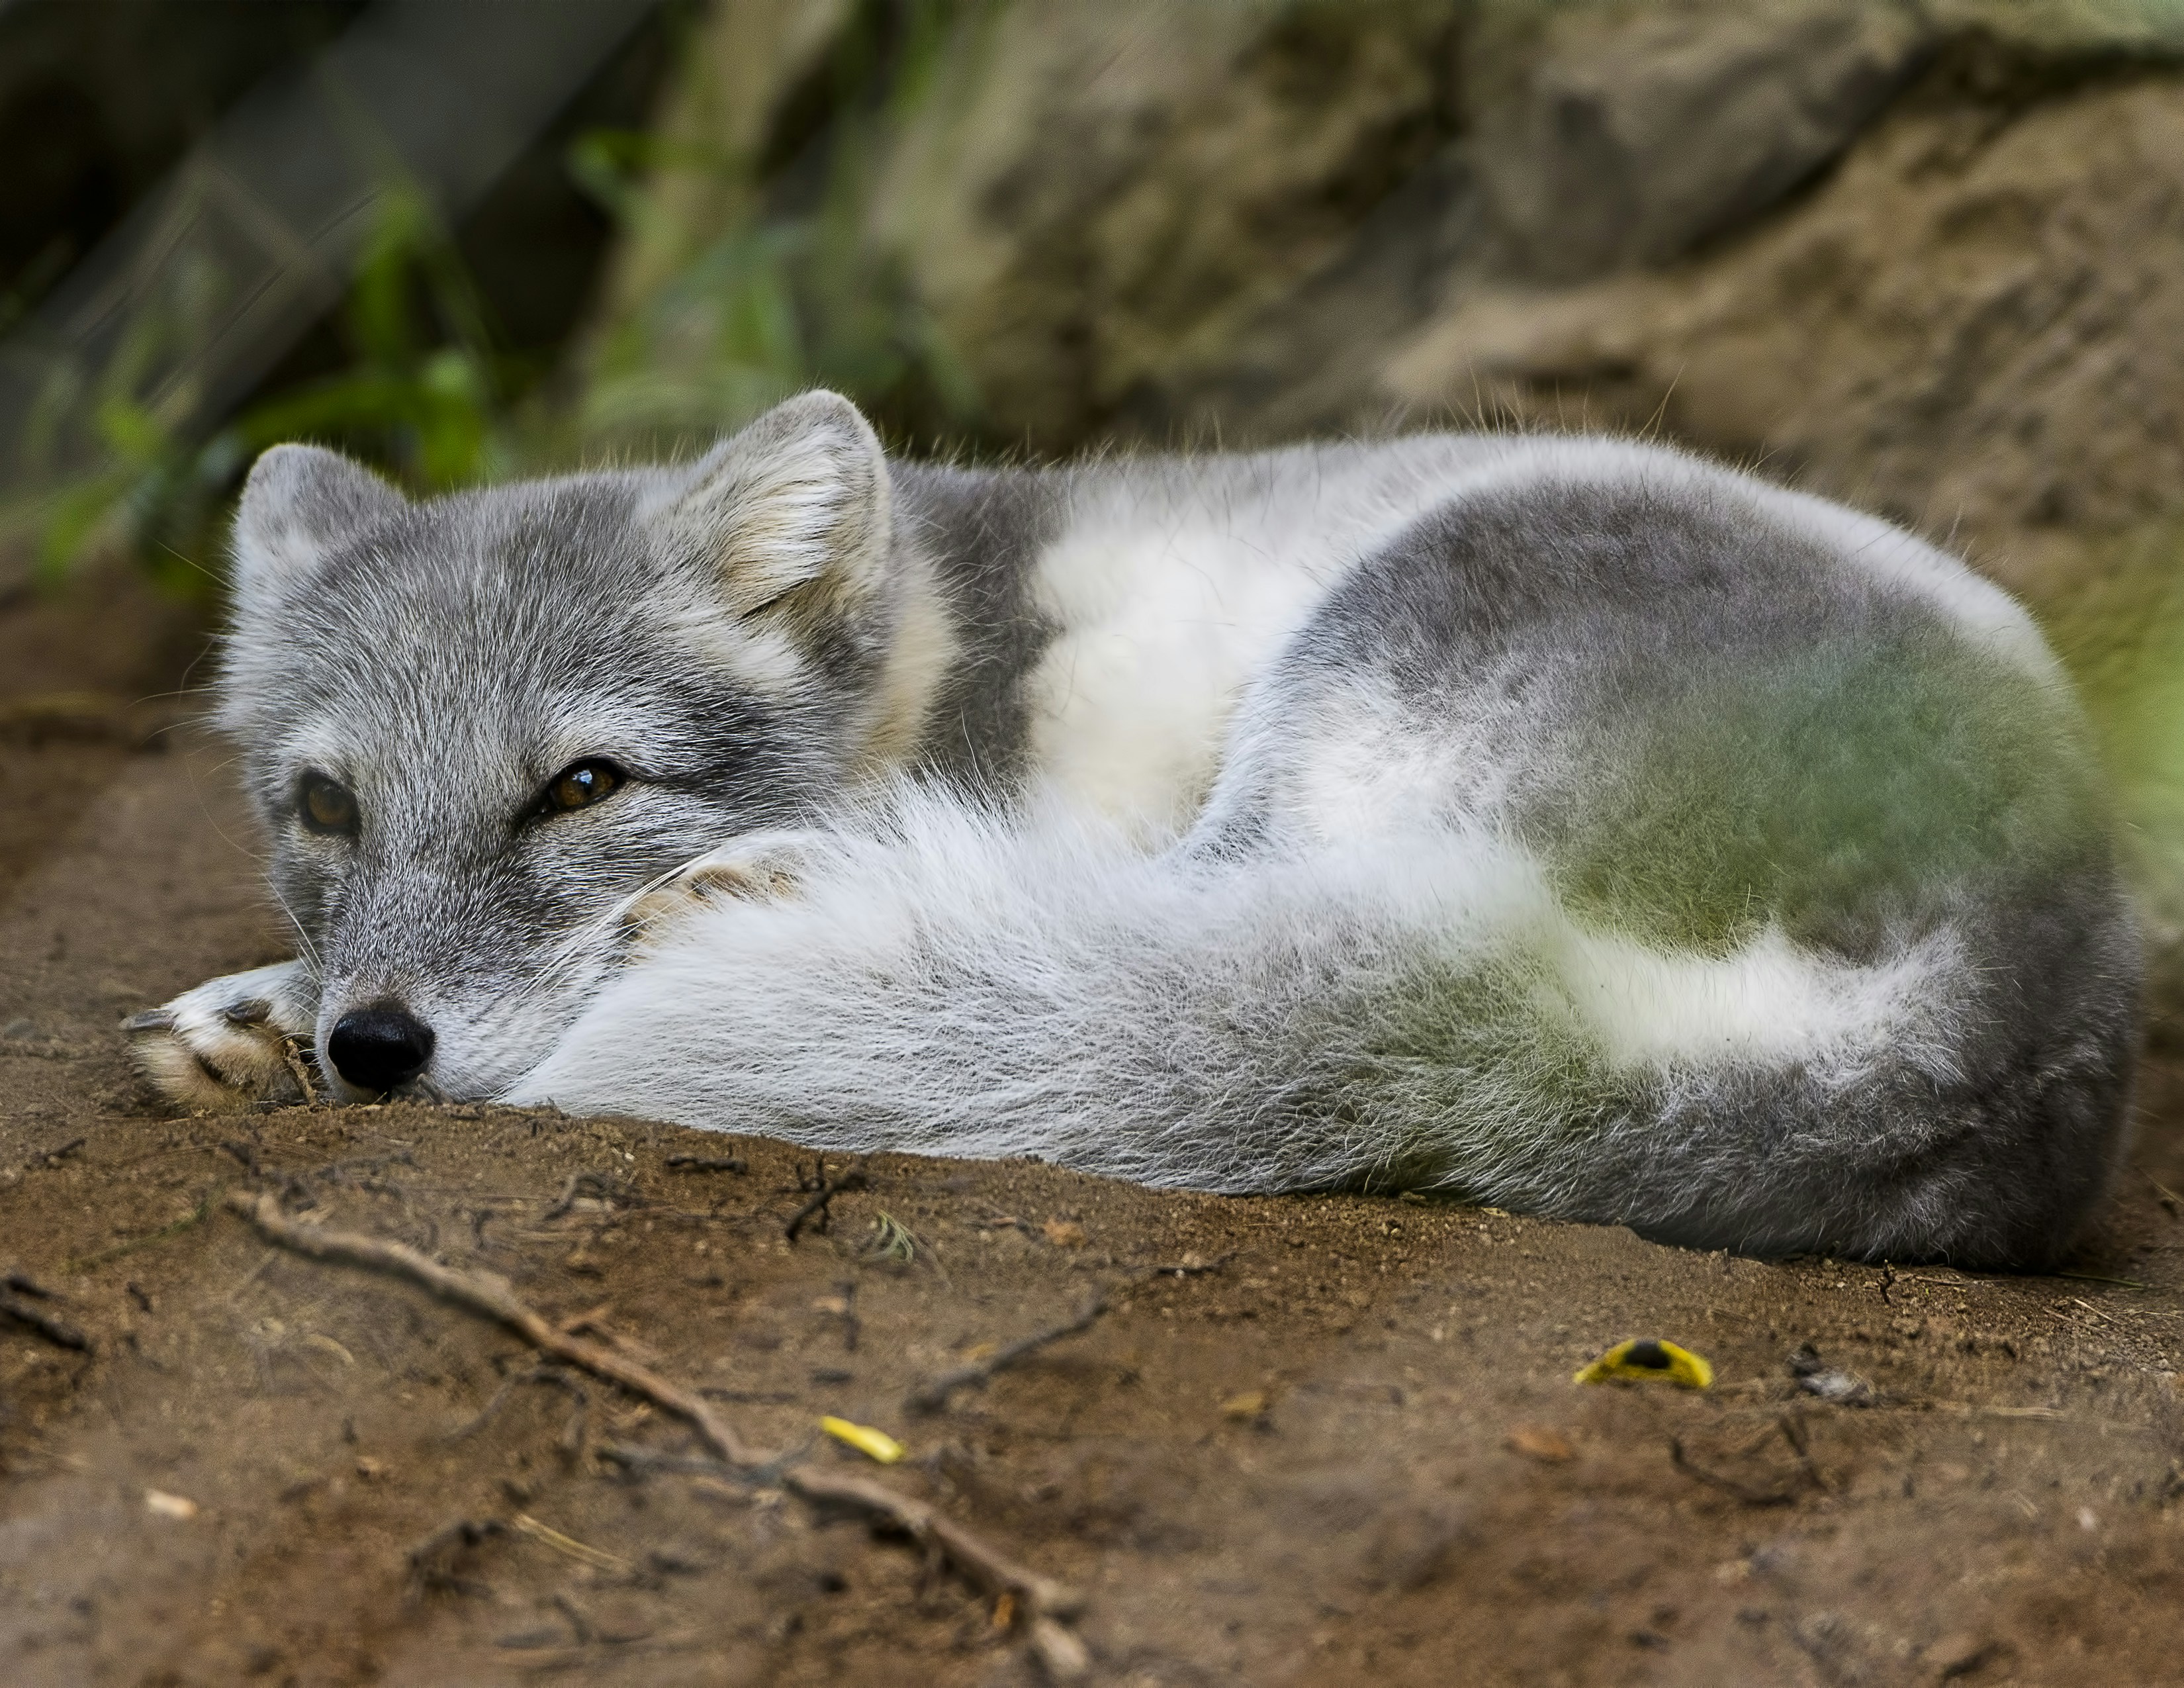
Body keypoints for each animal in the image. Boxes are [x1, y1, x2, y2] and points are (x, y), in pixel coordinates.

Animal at [127, 390, 2139, 1266]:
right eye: (325, 804)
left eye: (583, 787)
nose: (380, 1050)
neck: (943, 663)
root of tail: (2017, 1020)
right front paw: (261, 1005)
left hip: (1380, 638)